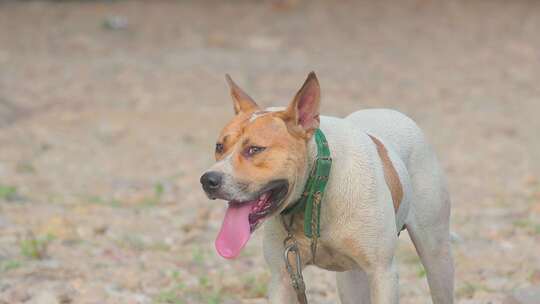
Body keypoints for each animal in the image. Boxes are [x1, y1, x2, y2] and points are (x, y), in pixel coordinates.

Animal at [200, 72, 454, 302]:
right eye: (219, 146)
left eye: (254, 149)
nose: (208, 180)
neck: (317, 192)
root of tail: (391, 112)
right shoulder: (282, 278)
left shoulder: (382, 274)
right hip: (351, 280)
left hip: (436, 257)